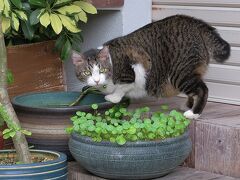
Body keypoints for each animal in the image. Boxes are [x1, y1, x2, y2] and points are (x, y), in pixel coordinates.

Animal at [71, 14, 231, 119]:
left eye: (102, 70)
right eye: (86, 72)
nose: (97, 80)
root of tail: (193, 22)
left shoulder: (135, 66)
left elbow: (123, 87)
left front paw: (114, 98)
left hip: (180, 72)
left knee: (202, 89)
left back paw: (193, 113)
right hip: (190, 72)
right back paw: (188, 106)